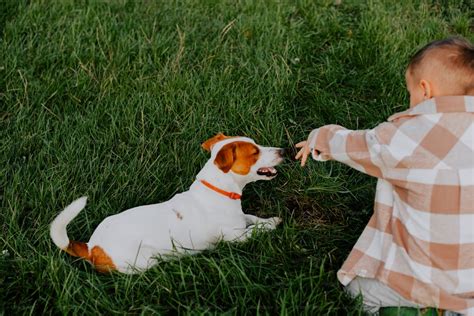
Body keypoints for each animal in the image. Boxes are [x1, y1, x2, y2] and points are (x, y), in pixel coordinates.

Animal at [50, 132, 284, 272]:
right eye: (254, 152)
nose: (283, 150)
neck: (218, 190)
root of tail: (92, 247)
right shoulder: (236, 237)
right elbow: (254, 230)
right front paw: (271, 225)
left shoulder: (240, 218)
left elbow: (253, 218)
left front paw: (269, 219)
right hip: (144, 261)